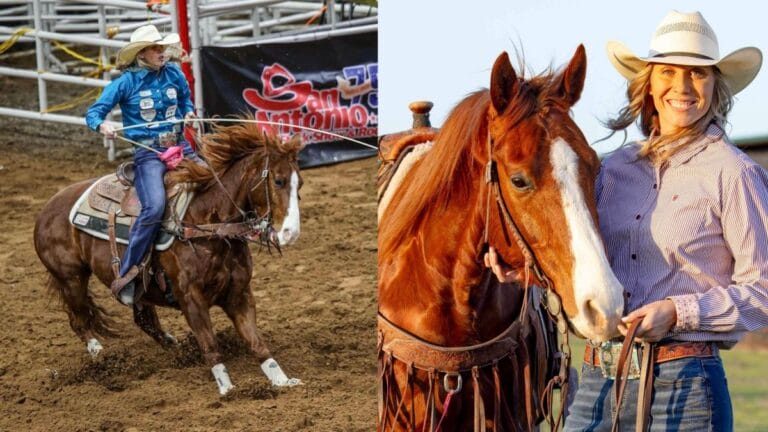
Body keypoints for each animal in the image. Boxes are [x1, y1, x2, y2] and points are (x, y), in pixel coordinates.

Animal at [34, 124, 304, 394]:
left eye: (299, 184)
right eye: (278, 180)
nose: (291, 233)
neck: (205, 225)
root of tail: (48, 207)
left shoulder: (239, 293)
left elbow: (256, 342)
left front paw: (282, 380)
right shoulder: (190, 298)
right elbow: (210, 344)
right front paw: (227, 388)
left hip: (137, 291)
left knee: (144, 320)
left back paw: (175, 346)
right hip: (71, 279)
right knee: (79, 320)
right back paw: (99, 356)